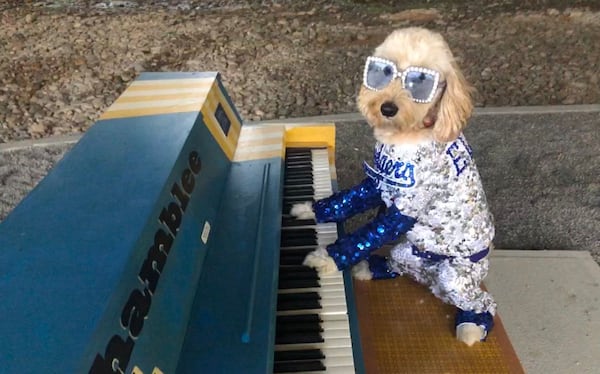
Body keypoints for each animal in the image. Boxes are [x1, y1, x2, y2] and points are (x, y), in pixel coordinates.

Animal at [292, 27, 496, 346]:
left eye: (421, 82)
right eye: (382, 72)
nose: (387, 108)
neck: (409, 134)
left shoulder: (405, 207)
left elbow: (364, 236)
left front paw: (326, 257)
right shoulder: (379, 183)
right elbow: (346, 201)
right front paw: (310, 209)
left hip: (457, 277)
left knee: (480, 300)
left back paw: (473, 324)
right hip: (411, 251)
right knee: (411, 269)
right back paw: (377, 267)